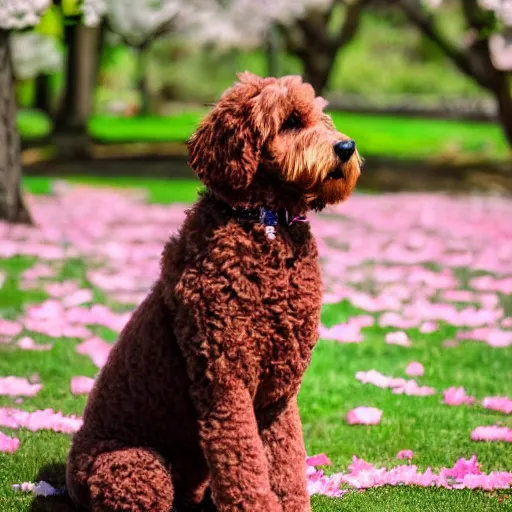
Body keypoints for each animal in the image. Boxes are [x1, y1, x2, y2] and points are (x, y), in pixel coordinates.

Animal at [67, 73, 360, 512]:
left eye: (321, 118)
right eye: (291, 121)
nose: (346, 147)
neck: (264, 223)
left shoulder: (278, 393)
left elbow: (287, 463)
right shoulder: (225, 380)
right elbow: (245, 466)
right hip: (135, 467)